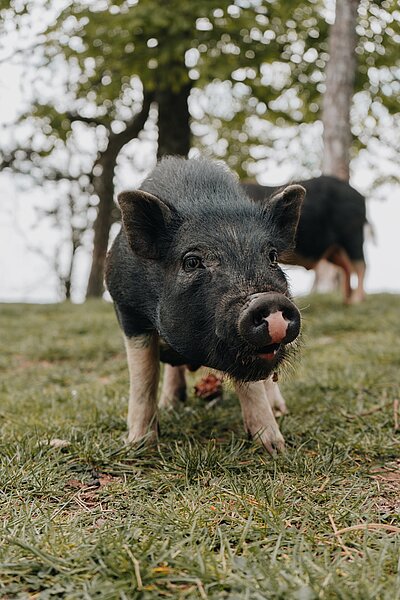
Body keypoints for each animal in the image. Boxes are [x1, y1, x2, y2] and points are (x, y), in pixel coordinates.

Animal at [104, 157, 304, 452]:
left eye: (272, 256)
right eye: (192, 261)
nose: (268, 300)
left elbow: (252, 385)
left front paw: (275, 448)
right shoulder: (127, 308)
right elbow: (144, 376)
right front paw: (139, 445)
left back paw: (280, 411)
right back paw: (171, 404)